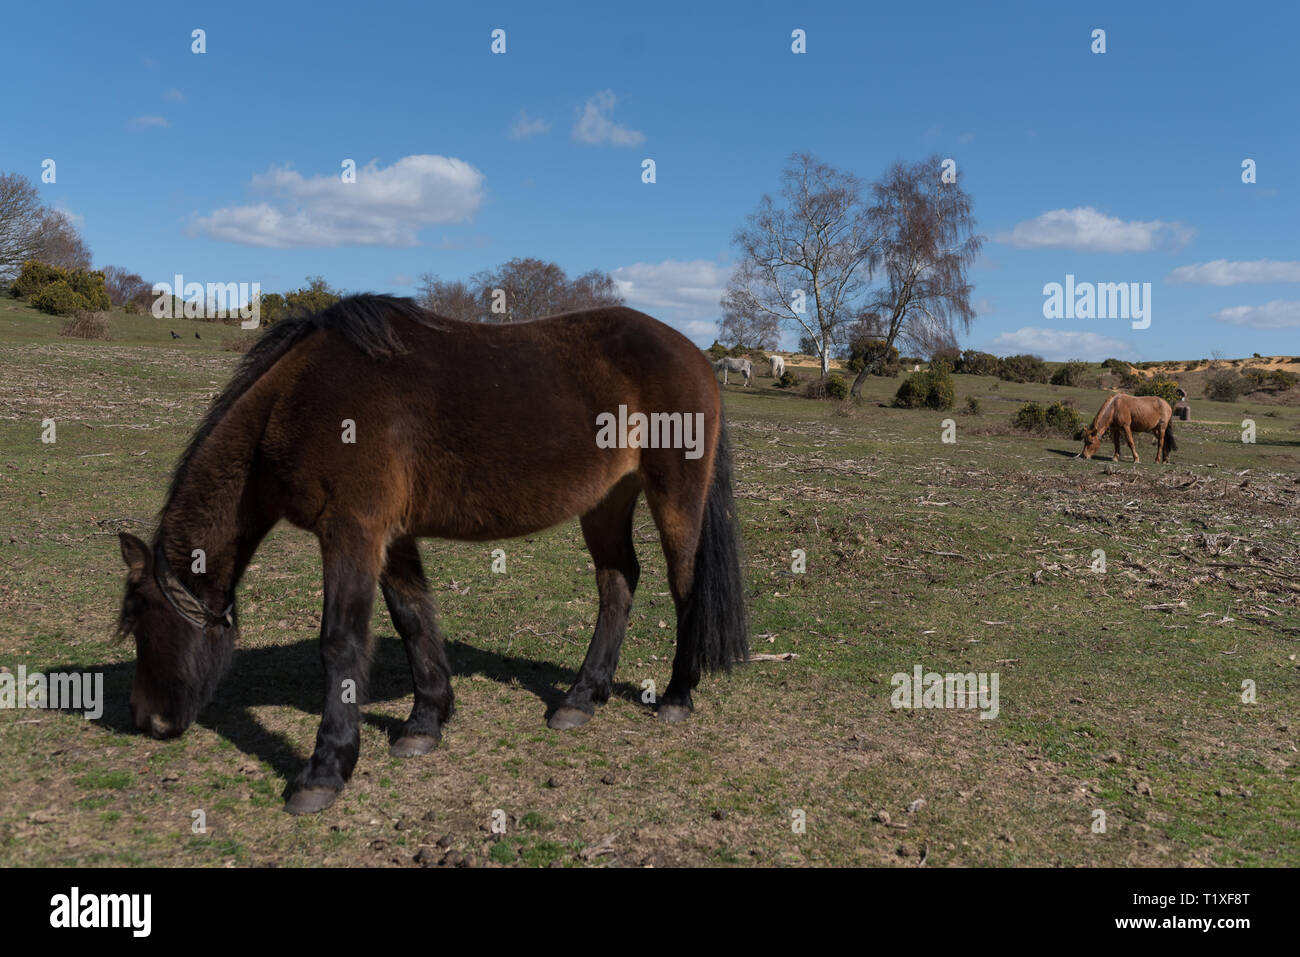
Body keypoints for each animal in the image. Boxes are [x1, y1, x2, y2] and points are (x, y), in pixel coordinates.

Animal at [116, 294, 749, 814]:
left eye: (142, 622)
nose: (146, 720)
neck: (299, 397)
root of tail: (694, 355)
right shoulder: (390, 537)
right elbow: (413, 619)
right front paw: (425, 721)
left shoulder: (351, 531)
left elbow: (340, 644)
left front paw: (324, 770)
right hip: (607, 500)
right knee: (618, 583)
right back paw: (580, 697)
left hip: (675, 496)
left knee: (685, 587)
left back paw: (677, 694)